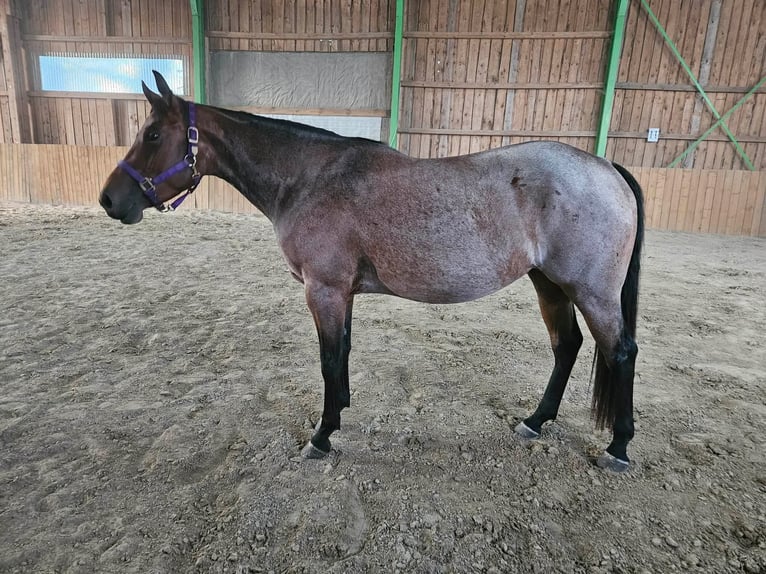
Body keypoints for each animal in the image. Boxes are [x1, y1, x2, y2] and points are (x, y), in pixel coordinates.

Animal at [100, 71, 644, 472]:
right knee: (567, 345)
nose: (108, 200)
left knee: (620, 352)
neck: (310, 179)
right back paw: (535, 420)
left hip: (591, 292)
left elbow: (328, 361)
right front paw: (338, 416)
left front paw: (321, 437)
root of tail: (606, 167)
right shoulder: (342, 294)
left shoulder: (324, 290)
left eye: (152, 135)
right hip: (549, 283)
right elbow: (341, 357)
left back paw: (618, 449)